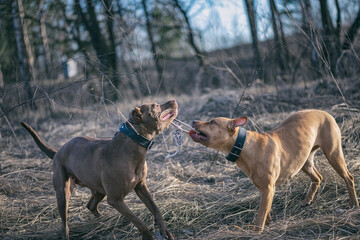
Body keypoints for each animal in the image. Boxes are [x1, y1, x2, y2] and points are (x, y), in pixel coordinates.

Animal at [20, 100, 177, 240]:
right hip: (63, 193)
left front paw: (165, 230)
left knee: (90, 205)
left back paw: (102, 220)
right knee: (65, 224)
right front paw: (148, 236)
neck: (132, 146)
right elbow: (139, 222)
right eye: (155, 105)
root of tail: (57, 151)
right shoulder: (115, 200)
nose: (173, 100)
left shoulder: (141, 187)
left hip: (99, 190)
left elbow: (155, 208)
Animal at [190, 109, 358, 232]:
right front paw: (269, 224)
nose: (193, 121)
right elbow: (267, 210)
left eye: (212, 122)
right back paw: (307, 200)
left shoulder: (268, 189)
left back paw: (354, 204)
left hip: (333, 154)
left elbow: (260, 215)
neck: (245, 146)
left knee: (349, 178)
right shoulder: (265, 190)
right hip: (304, 160)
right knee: (318, 177)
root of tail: (326, 113)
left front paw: (257, 232)